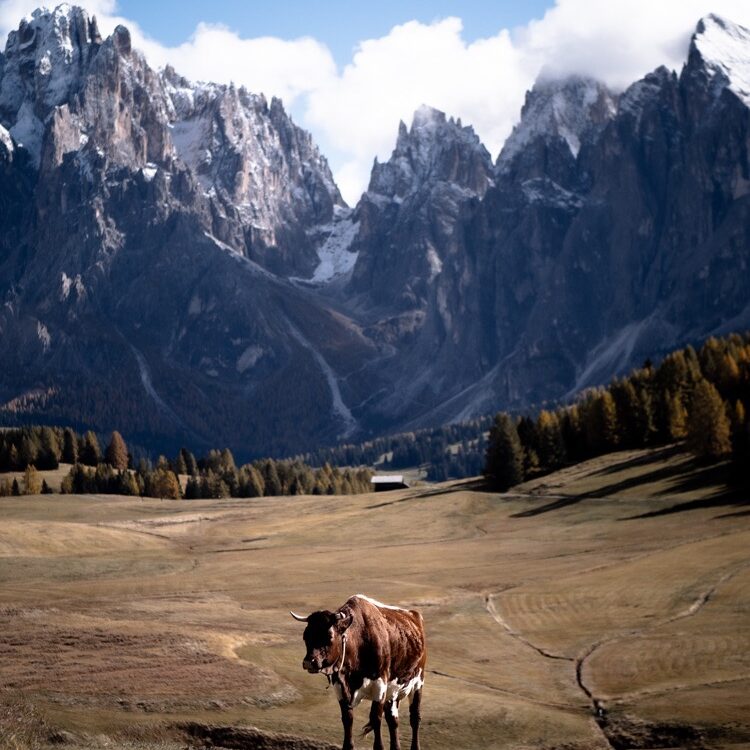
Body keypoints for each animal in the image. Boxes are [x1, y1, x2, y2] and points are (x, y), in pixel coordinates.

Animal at [290, 596, 426, 748]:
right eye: (305, 636)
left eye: (329, 636)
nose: (309, 662)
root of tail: (414, 615)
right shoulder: (340, 688)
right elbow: (347, 719)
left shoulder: (380, 686)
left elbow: (376, 719)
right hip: (393, 692)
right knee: (393, 720)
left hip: (418, 682)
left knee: (414, 718)